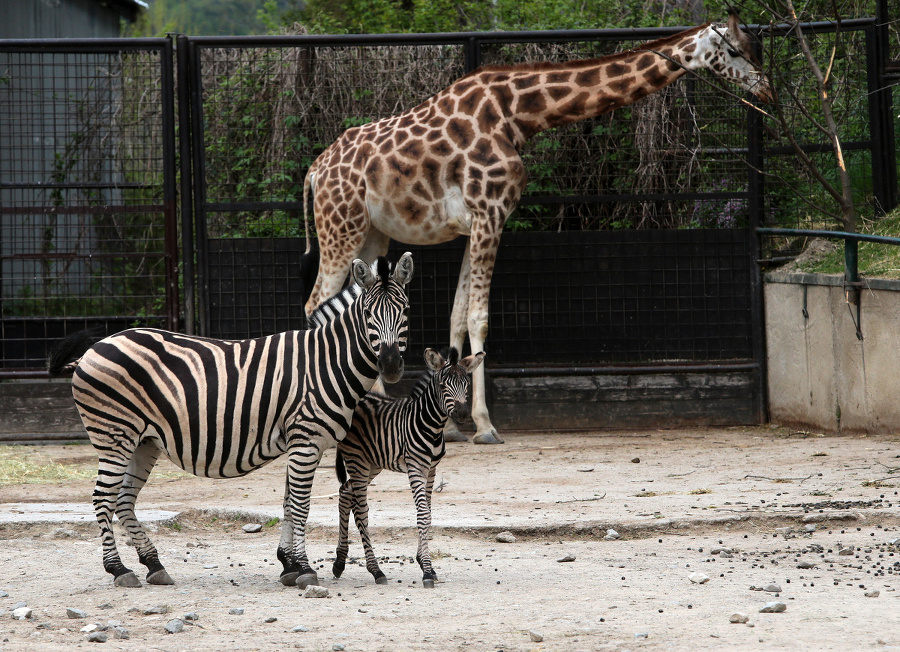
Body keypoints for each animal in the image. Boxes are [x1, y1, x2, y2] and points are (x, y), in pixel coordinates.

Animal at [47, 252, 414, 588]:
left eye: (406, 310)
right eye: (368, 313)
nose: (390, 366)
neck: (328, 362)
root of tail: (95, 346)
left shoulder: (301, 443)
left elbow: (287, 503)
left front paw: (288, 564)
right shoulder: (306, 441)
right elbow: (301, 506)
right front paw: (305, 568)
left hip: (143, 441)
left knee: (123, 500)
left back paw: (153, 564)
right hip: (115, 436)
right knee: (103, 498)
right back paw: (119, 569)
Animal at [298, 12, 768, 446]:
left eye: (752, 47)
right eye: (734, 50)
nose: (766, 89)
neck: (519, 114)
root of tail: (314, 171)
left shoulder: (475, 224)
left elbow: (457, 315)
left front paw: (451, 424)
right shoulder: (491, 213)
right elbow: (479, 319)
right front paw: (485, 426)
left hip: (371, 234)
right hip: (339, 227)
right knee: (315, 304)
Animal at [332, 348, 486, 588]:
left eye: (466, 384)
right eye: (443, 385)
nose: (461, 414)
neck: (431, 426)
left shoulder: (431, 470)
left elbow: (428, 514)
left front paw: (425, 564)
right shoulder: (415, 467)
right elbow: (422, 514)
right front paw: (427, 570)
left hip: (372, 463)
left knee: (345, 492)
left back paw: (339, 563)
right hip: (357, 460)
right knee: (361, 510)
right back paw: (376, 570)